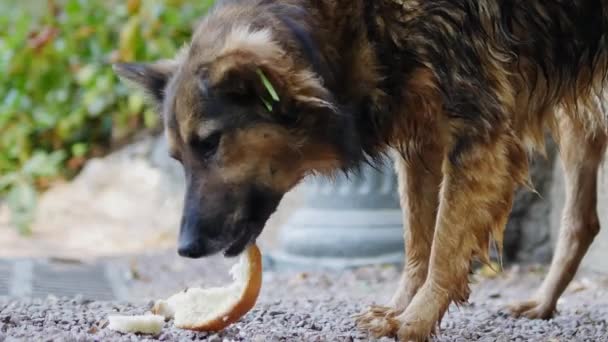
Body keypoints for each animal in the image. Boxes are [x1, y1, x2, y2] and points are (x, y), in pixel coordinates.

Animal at [115, 1, 608, 340]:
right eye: (178, 158)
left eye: (211, 143)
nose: (186, 248)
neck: (357, 21)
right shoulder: (422, 140)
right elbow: (418, 241)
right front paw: (399, 310)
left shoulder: (478, 135)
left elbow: (445, 245)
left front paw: (417, 319)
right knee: (582, 220)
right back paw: (544, 303)